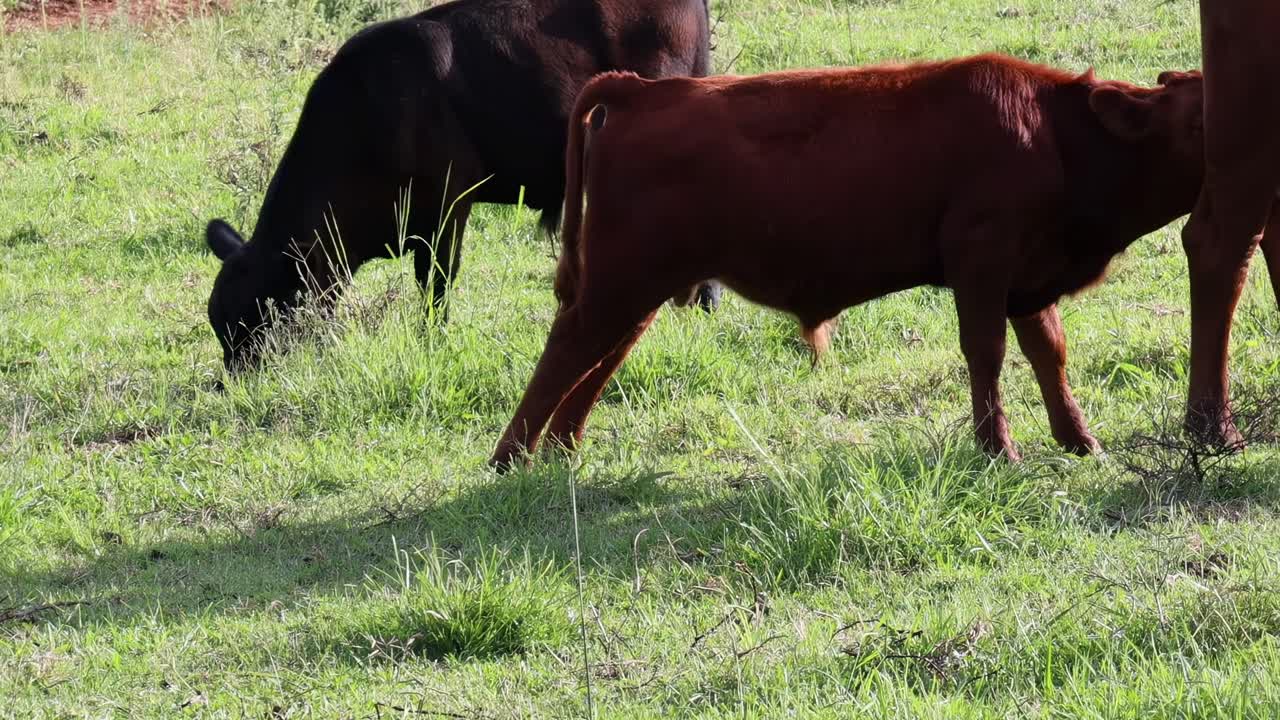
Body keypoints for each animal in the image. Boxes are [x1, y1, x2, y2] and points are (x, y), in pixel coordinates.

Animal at [204, 0, 720, 372]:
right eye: (220, 325)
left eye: (258, 315)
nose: (238, 380)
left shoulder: (449, 201)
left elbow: (437, 280)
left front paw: (433, 341)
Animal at [490, 54, 1207, 470]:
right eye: (1202, 116)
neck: (1054, 133)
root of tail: (644, 91)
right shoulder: (983, 261)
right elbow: (988, 353)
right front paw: (998, 448)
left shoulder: (1030, 280)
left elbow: (1048, 354)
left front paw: (1079, 440)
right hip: (620, 281)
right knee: (568, 347)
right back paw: (511, 458)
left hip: (638, 285)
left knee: (600, 356)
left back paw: (561, 451)